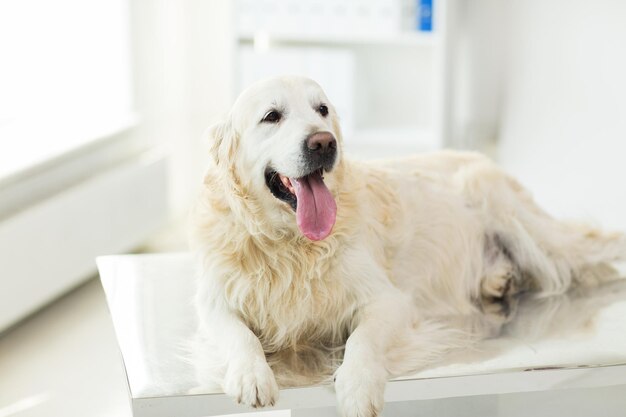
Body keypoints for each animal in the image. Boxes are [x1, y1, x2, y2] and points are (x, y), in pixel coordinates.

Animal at [190, 75, 624, 416]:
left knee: (590, 252)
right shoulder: (213, 302)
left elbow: (362, 339)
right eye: (272, 116)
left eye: (322, 110)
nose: (323, 143)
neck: (291, 244)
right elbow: (240, 335)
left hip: (519, 220)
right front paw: (251, 374)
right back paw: (499, 280)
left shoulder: (389, 300)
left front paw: (358, 384)